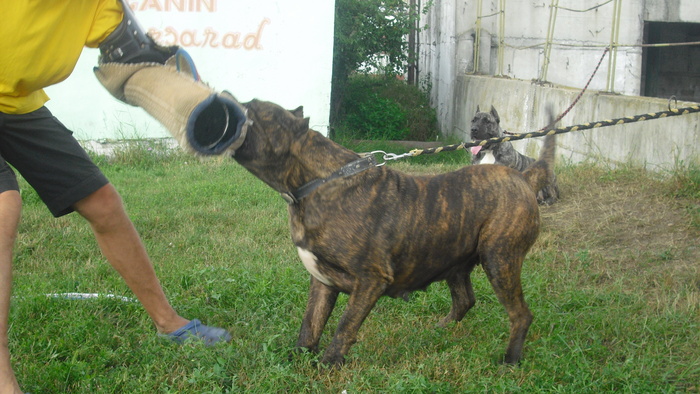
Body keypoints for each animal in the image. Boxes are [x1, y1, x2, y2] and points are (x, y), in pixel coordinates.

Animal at [234, 100, 556, 368]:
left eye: (252, 110)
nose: (226, 95)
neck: (320, 181)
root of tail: (524, 178)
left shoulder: (370, 280)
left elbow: (344, 326)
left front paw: (328, 364)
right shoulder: (323, 282)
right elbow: (311, 324)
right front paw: (297, 359)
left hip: (500, 260)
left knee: (520, 314)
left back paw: (510, 360)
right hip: (455, 260)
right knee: (465, 300)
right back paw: (439, 331)